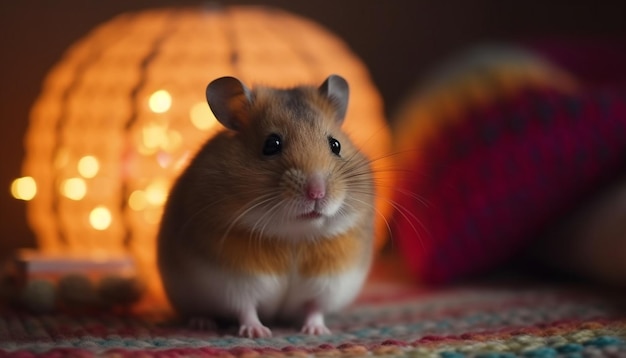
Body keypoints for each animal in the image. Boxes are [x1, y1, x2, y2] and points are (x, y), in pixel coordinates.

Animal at [156, 74, 376, 338]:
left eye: (335, 145)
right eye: (272, 144)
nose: (317, 192)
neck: (294, 235)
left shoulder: (330, 282)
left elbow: (314, 308)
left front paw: (316, 332)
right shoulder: (234, 281)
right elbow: (246, 308)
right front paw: (257, 333)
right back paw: (202, 323)